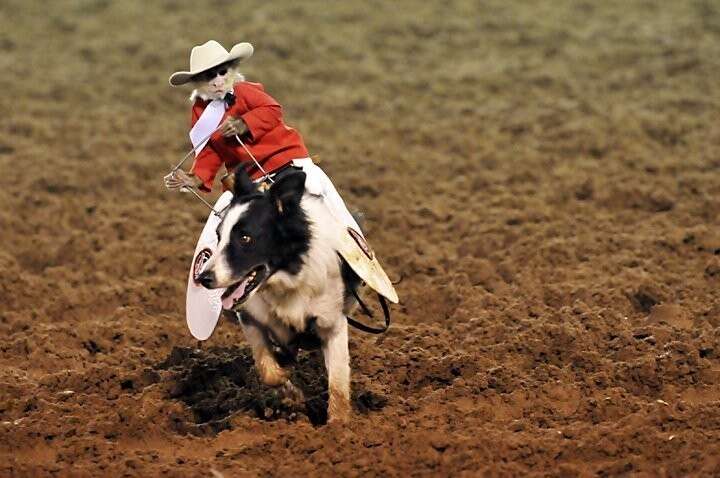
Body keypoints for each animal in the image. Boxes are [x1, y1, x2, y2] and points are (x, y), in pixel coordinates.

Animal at [197, 168, 360, 422]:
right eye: (218, 235)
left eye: (245, 238)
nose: (203, 278)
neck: (288, 277)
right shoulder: (251, 318)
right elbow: (267, 369)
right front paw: (290, 390)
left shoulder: (332, 323)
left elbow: (338, 381)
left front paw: (339, 426)